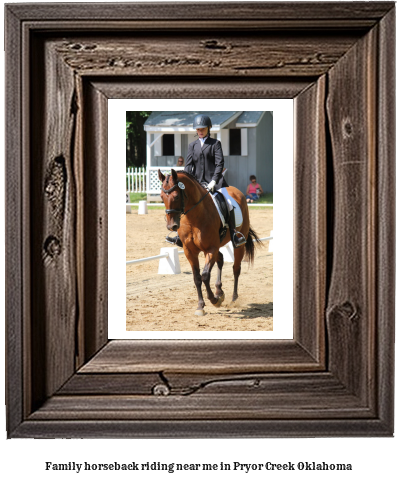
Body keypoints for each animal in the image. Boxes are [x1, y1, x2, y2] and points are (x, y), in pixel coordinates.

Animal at [158, 170, 264, 318]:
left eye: (177, 196)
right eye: (162, 197)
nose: (171, 226)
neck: (193, 218)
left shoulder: (210, 248)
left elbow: (205, 275)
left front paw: (214, 300)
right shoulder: (189, 251)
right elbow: (197, 277)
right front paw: (200, 306)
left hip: (238, 245)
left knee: (236, 269)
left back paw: (233, 298)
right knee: (221, 259)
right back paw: (219, 291)